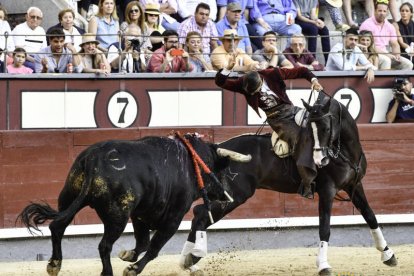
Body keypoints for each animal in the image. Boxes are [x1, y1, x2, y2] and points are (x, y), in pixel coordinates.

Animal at [17, 134, 249, 276]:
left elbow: (143, 242)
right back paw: (106, 273)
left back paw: (54, 264)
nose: (226, 194)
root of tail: (95, 157)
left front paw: (128, 255)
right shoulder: (173, 220)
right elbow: (154, 248)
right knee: (103, 245)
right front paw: (133, 268)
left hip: (70, 197)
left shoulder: (140, 215)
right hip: (117, 216)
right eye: (218, 168)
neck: (191, 163)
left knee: (57, 226)